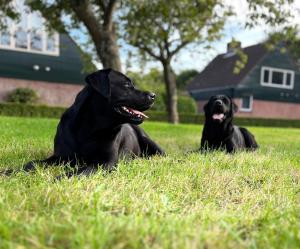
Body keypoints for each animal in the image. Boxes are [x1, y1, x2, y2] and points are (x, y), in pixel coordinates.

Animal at [14, 69, 164, 176]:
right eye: (127, 85)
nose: (153, 95)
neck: (91, 128)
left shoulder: (105, 162)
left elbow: (80, 171)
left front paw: (58, 178)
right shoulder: (60, 157)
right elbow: (33, 163)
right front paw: (12, 171)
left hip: (150, 142)